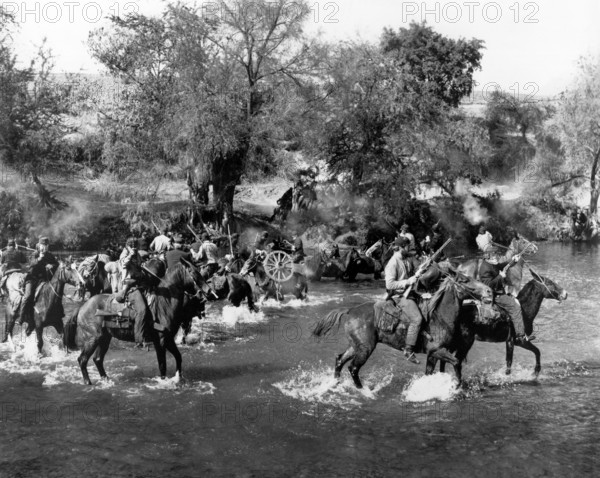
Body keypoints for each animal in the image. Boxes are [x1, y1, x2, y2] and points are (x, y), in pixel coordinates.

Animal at [63, 260, 207, 386]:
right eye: (193, 272)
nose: (207, 291)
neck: (165, 303)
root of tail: (82, 307)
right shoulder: (160, 341)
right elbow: (162, 365)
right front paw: (164, 381)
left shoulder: (168, 339)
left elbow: (178, 357)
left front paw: (178, 377)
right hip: (92, 339)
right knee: (82, 360)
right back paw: (88, 382)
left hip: (104, 338)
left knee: (97, 359)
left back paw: (106, 379)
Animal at [312, 266, 494, 388]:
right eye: (465, 280)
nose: (489, 291)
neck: (440, 316)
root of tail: (349, 311)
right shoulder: (436, 350)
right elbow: (456, 363)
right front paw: (456, 385)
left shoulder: (433, 354)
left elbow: (430, 372)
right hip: (365, 348)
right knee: (353, 368)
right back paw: (363, 391)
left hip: (356, 346)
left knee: (339, 360)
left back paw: (335, 383)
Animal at [436, 270, 568, 380]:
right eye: (550, 283)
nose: (565, 294)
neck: (524, 310)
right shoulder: (516, 341)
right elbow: (512, 362)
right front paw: (532, 372)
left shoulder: (517, 342)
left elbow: (535, 352)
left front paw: (535, 372)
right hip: (465, 342)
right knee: (456, 361)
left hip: (455, 342)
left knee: (444, 360)